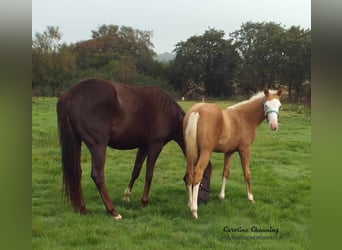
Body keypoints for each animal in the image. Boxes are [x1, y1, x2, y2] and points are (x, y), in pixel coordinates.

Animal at [56, 77, 211, 219]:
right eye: (205, 177)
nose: (205, 201)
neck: (165, 112)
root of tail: (70, 94)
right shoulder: (155, 145)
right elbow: (149, 174)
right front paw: (144, 202)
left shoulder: (143, 146)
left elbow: (135, 171)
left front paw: (126, 196)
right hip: (98, 145)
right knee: (97, 175)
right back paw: (113, 211)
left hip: (76, 141)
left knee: (76, 172)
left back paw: (82, 209)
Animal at [183, 88, 282, 219]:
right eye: (266, 105)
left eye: (279, 106)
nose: (274, 126)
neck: (244, 118)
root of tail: (197, 111)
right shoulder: (245, 150)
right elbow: (247, 173)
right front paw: (251, 198)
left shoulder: (228, 152)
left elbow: (226, 173)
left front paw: (221, 197)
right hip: (205, 152)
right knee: (197, 175)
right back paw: (194, 211)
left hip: (191, 154)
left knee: (189, 175)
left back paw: (189, 205)